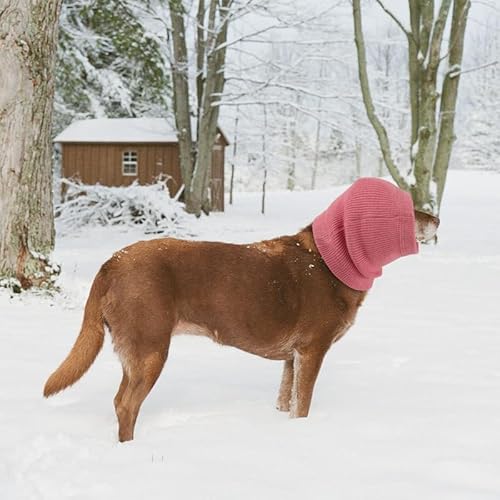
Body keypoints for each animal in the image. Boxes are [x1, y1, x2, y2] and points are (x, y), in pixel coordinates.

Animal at [45, 211, 440, 442]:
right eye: (407, 206)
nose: (436, 217)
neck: (329, 260)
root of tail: (112, 261)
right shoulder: (312, 350)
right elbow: (303, 404)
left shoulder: (292, 358)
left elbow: (286, 399)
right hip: (151, 351)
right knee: (126, 405)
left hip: (136, 353)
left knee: (118, 401)